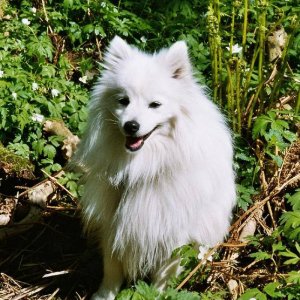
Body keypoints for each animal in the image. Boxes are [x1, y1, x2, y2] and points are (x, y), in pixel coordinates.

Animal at [73, 36, 237, 298]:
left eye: (155, 104)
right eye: (123, 101)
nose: (131, 125)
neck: (143, 166)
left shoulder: (171, 231)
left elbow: (163, 275)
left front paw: (158, 293)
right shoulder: (112, 220)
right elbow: (111, 267)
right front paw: (104, 294)